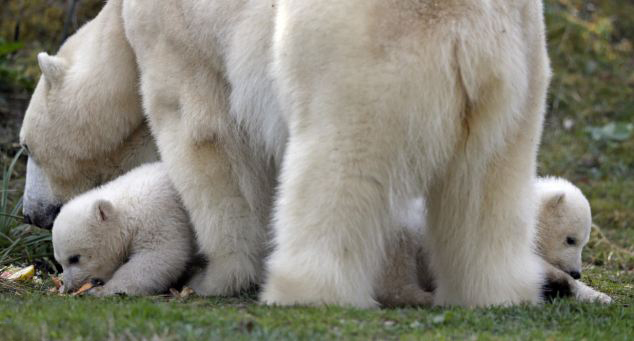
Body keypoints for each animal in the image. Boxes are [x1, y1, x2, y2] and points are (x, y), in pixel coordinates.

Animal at [51, 163, 193, 294]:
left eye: (74, 258)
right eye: (59, 261)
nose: (67, 287)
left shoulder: (159, 214)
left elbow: (160, 254)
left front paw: (103, 290)